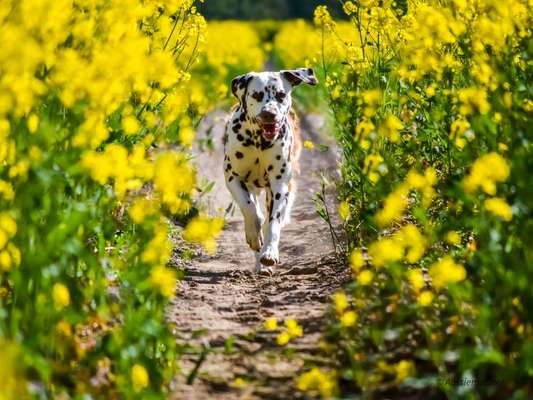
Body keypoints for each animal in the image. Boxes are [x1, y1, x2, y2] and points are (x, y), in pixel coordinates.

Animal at [223, 69, 318, 276]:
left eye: (281, 95)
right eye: (257, 95)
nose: (269, 114)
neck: (259, 141)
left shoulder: (279, 186)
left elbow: (273, 223)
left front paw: (269, 253)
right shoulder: (233, 177)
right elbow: (250, 209)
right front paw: (253, 234)